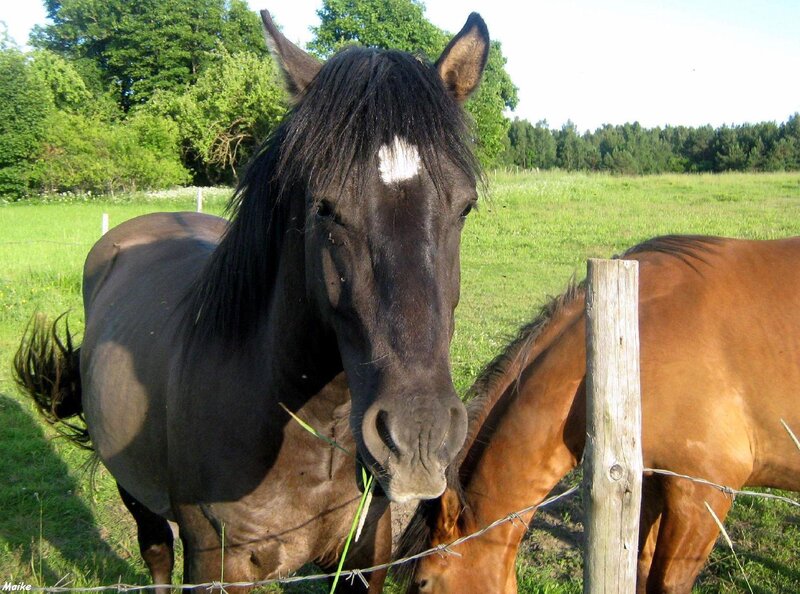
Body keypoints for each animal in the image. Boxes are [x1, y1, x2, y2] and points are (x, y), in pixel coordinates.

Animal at [14, 11, 491, 591]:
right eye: (324, 207)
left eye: (465, 206)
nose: (419, 438)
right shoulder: (215, 563)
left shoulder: (365, 554)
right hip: (136, 494)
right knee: (155, 552)